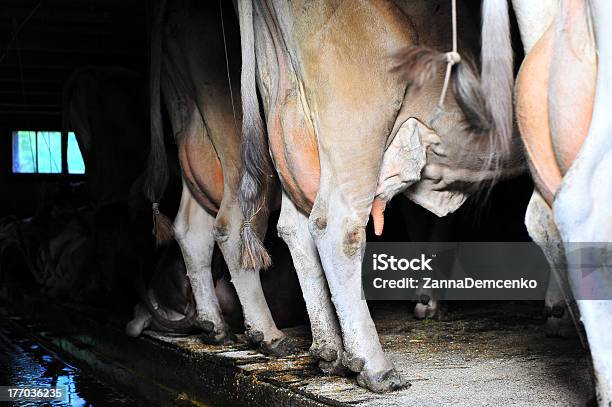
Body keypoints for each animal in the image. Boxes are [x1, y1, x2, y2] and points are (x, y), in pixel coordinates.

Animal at [234, 0, 520, 392]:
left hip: (290, 128)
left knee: (297, 228)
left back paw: (328, 352)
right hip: (356, 126)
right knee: (338, 229)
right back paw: (374, 367)